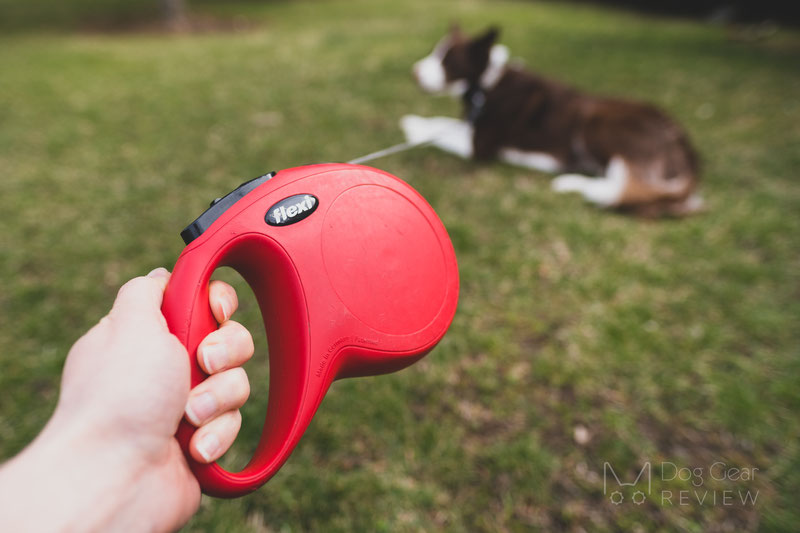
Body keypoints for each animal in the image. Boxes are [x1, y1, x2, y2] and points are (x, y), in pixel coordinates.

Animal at [404, 25, 704, 216]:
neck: (488, 82)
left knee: (628, 186)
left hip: (595, 121)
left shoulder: (480, 145)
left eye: (447, 60)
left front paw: (414, 127)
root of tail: (685, 146)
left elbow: (443, 133)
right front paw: (418, 120)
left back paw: (575, 184)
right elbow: (443, 122)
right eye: (435, 52)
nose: (414, 72)